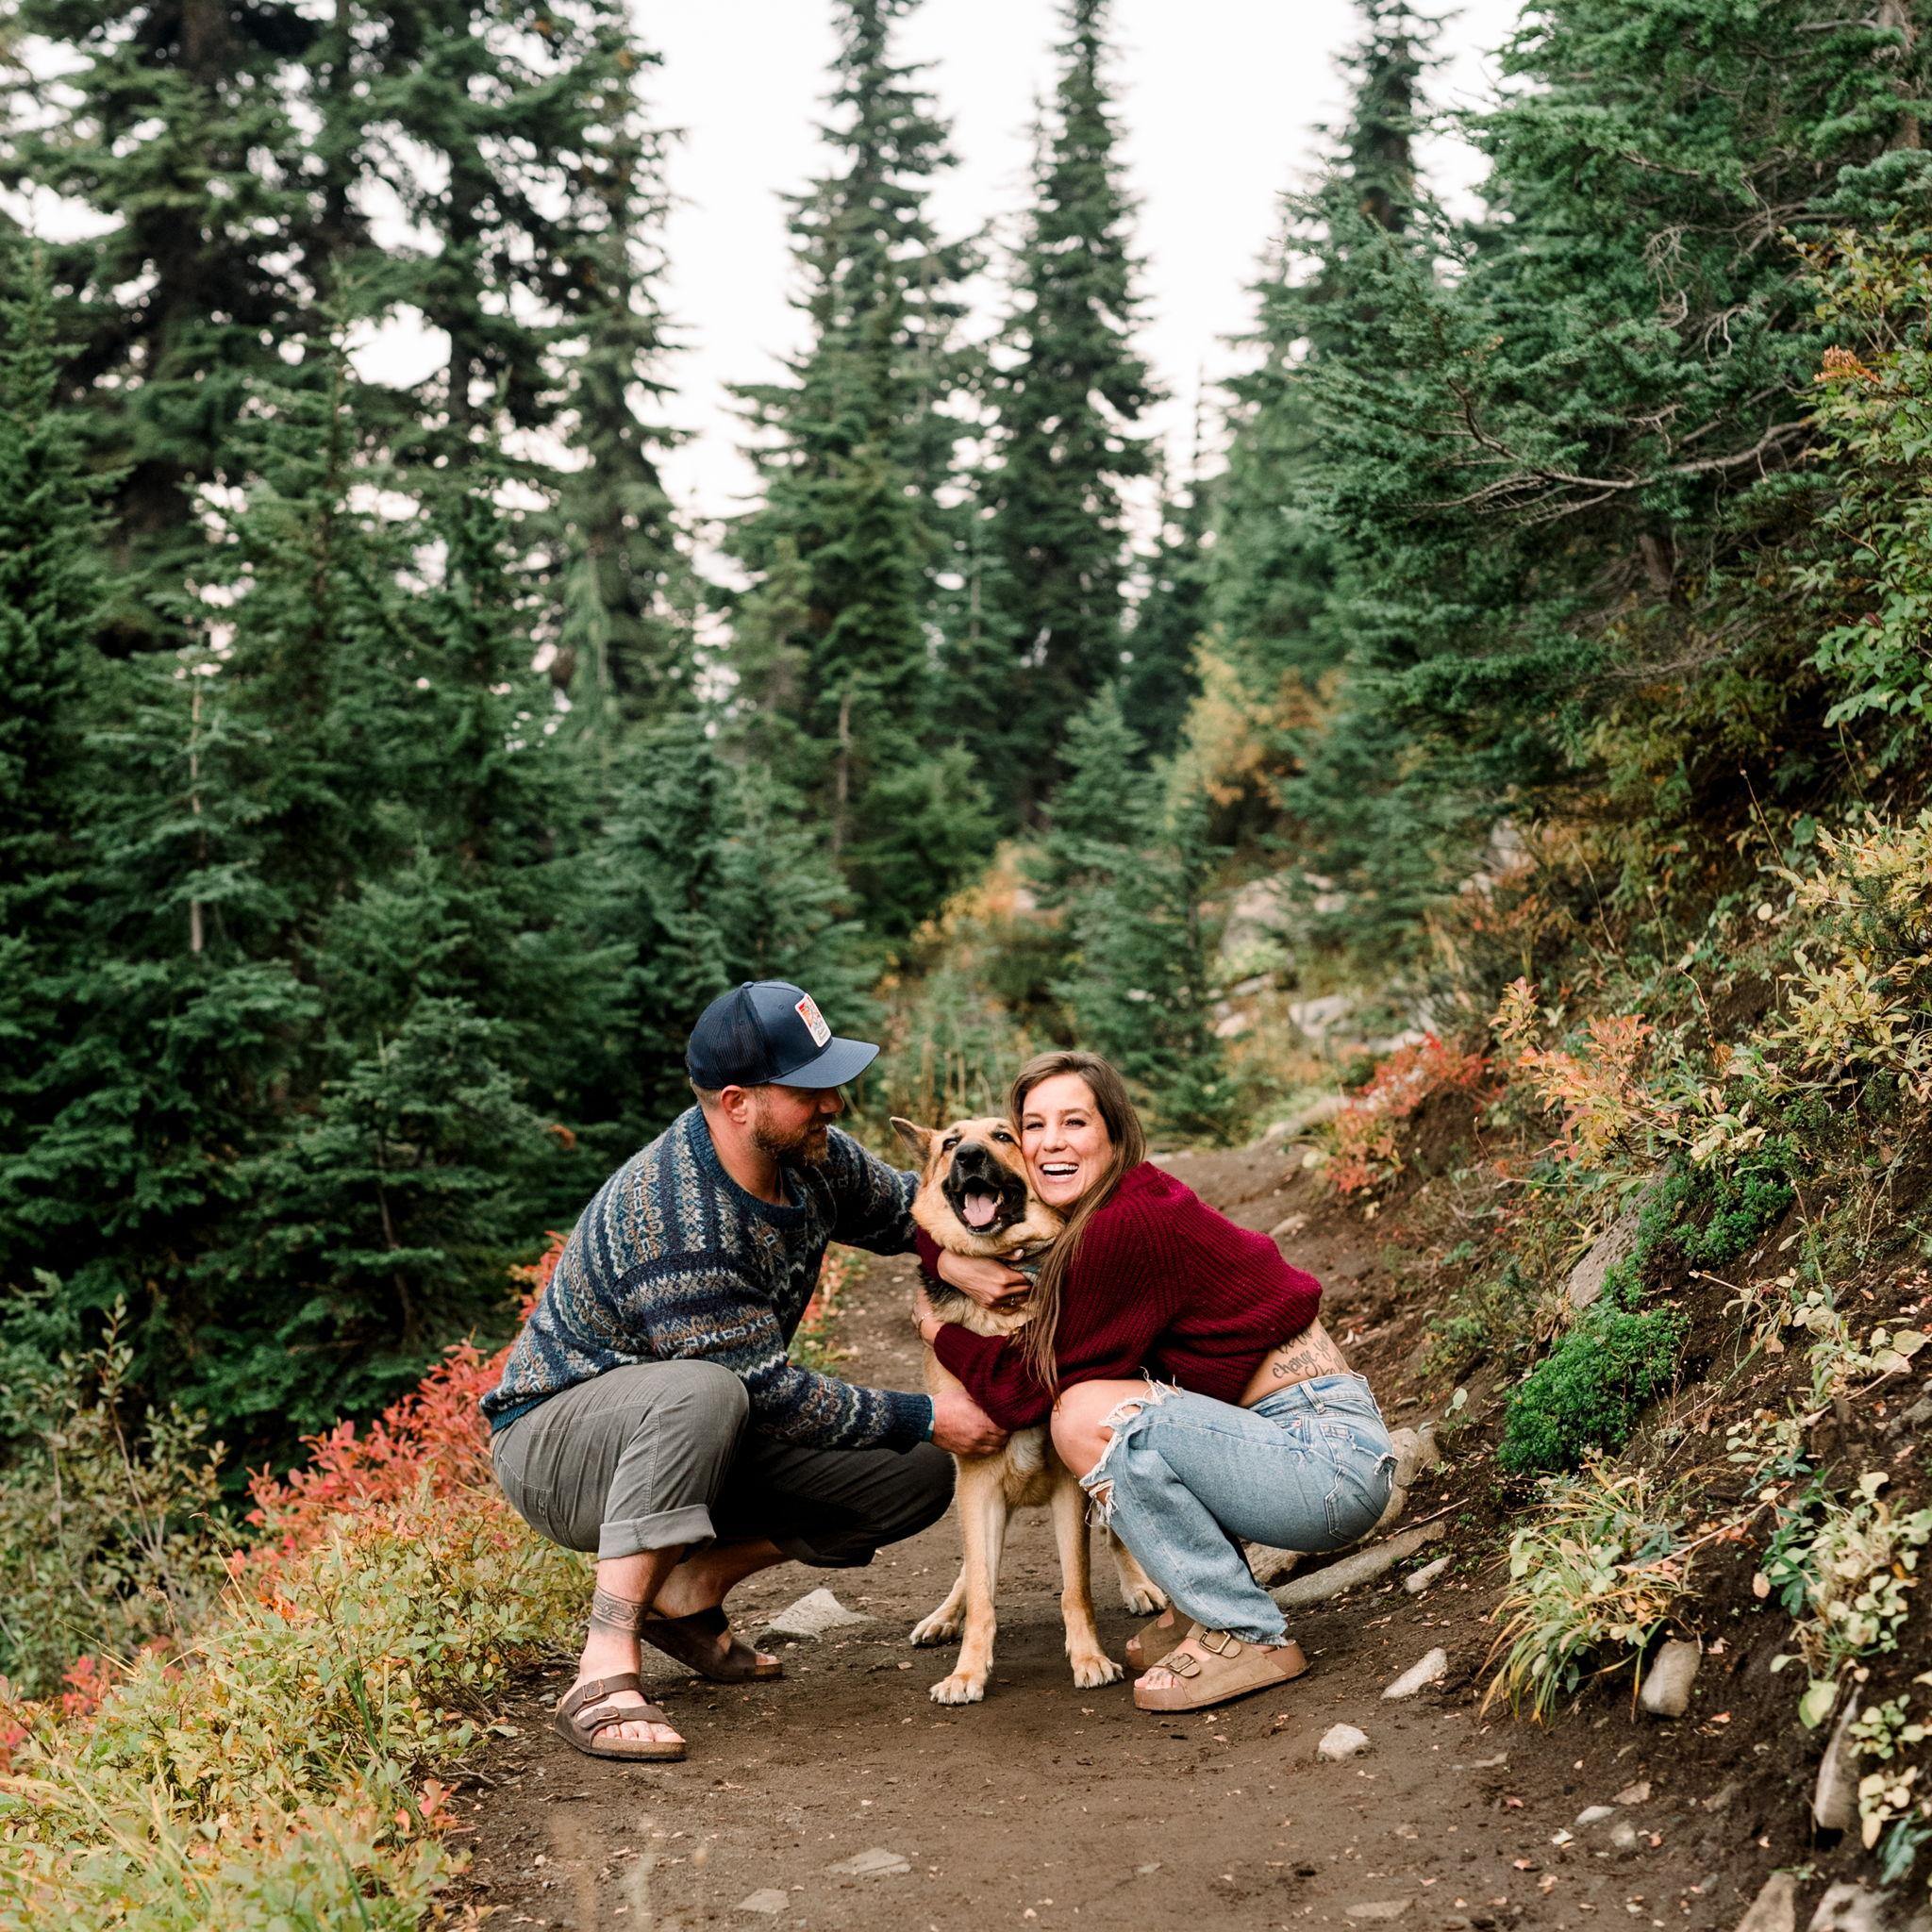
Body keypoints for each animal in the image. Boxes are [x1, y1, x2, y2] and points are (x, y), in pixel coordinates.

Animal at [890, 1113, 1166, 1705]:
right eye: (951, 1142)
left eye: (1003, 1136)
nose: (969, 1156)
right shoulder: (977, 1483)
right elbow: (983, 1592)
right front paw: (967, 1672)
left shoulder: (1067, 1484)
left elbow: (1075, 1586)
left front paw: (1089, 1658)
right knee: (971, 1571)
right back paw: (944, 1617)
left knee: (1117, 1530)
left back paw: (1140, 1585)